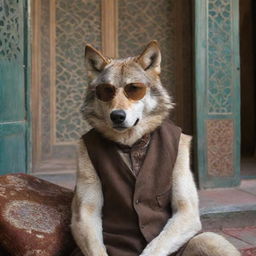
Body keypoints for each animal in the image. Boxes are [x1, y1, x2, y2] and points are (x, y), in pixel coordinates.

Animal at [70, 41, 240, 255]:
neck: (131, 145)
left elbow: (156, 245)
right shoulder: (84, 212)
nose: (117, 116)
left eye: (134, 89)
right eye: (106, 91)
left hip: (210, 240)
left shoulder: (187, 209)